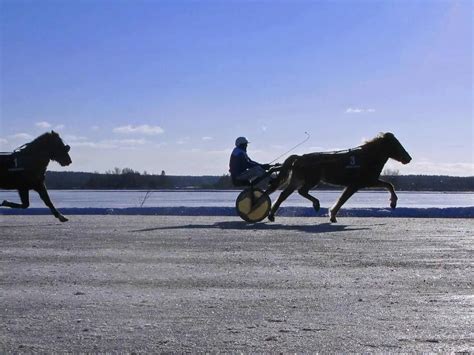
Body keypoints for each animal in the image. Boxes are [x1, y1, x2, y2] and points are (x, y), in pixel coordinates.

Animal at [264, 132, 412, 224]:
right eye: (395, 144)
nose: (408, 158)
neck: (366, 158)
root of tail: (299, 158)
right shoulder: (362, 183)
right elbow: (343, 199)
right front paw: (393, 203)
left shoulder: (362, 183)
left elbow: (388, 185)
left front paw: (332, 215)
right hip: (311, 180)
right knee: (301, 191)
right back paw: (316, 204)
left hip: (297, 180)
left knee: (284, 194)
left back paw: (271, 215)